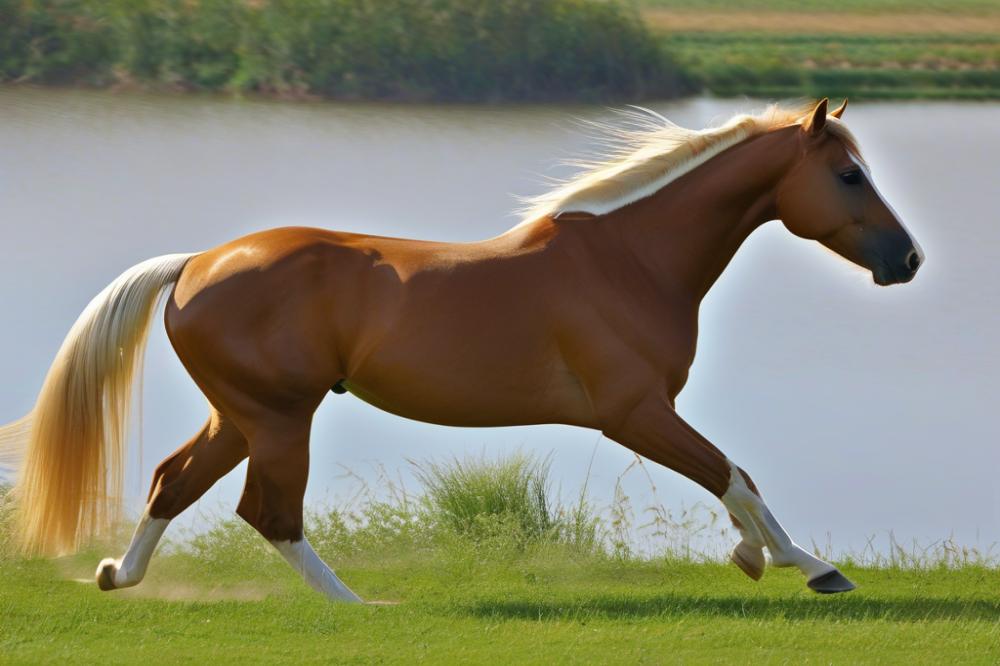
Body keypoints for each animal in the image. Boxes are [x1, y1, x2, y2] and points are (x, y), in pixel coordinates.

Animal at [0, 97, 920, 596]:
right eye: (848, 175)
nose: (906, 260)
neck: (627, 260)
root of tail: (194, 264)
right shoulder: (634, 413)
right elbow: (733, 474)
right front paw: (808, 565)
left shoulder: (646, 415)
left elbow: (736, 480)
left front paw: (760, 557)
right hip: (280, 418)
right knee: (268, 513)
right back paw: (357, 608)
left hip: (243, 415)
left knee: (174, 482)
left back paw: (117, 576)